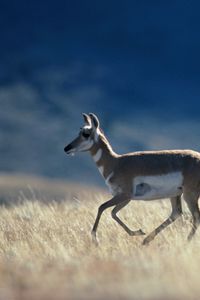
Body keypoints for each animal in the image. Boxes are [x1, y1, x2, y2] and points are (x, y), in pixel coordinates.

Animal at [63, 112, 200, 244]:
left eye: (86, 133)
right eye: (79, 131)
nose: (67, 148)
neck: (115, 162)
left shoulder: (125, 195)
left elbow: (102, 207)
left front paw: (95, 239)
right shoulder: (126, 198)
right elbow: (113, 213)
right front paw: (138, 232)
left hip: (189, 195)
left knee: (195, 217)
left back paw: (186, 242)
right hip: (175, 194)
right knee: (176, 213)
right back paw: (146, 240)